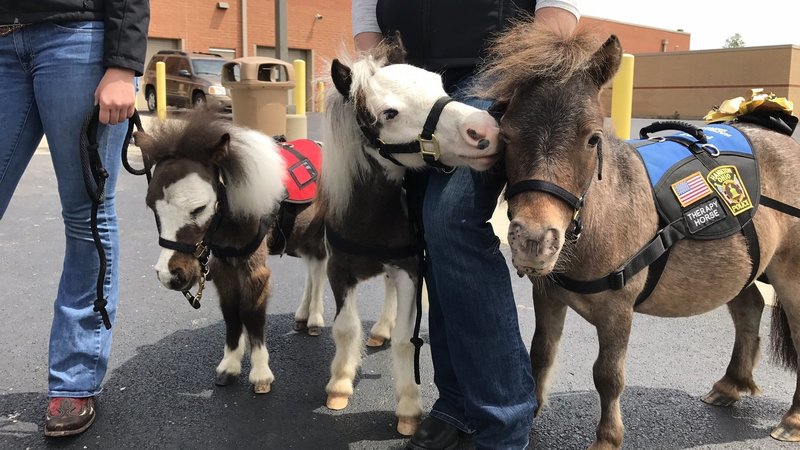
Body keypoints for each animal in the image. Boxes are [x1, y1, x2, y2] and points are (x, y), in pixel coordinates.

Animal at [318, 39, 500, 436]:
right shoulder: (338, 272)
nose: (485, 131)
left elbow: (405, 338)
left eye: (440, 86)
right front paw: (339, 384)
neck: (367, 219)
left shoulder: (409, 269)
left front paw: (408, 407)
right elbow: (345, 328)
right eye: (388, 113)